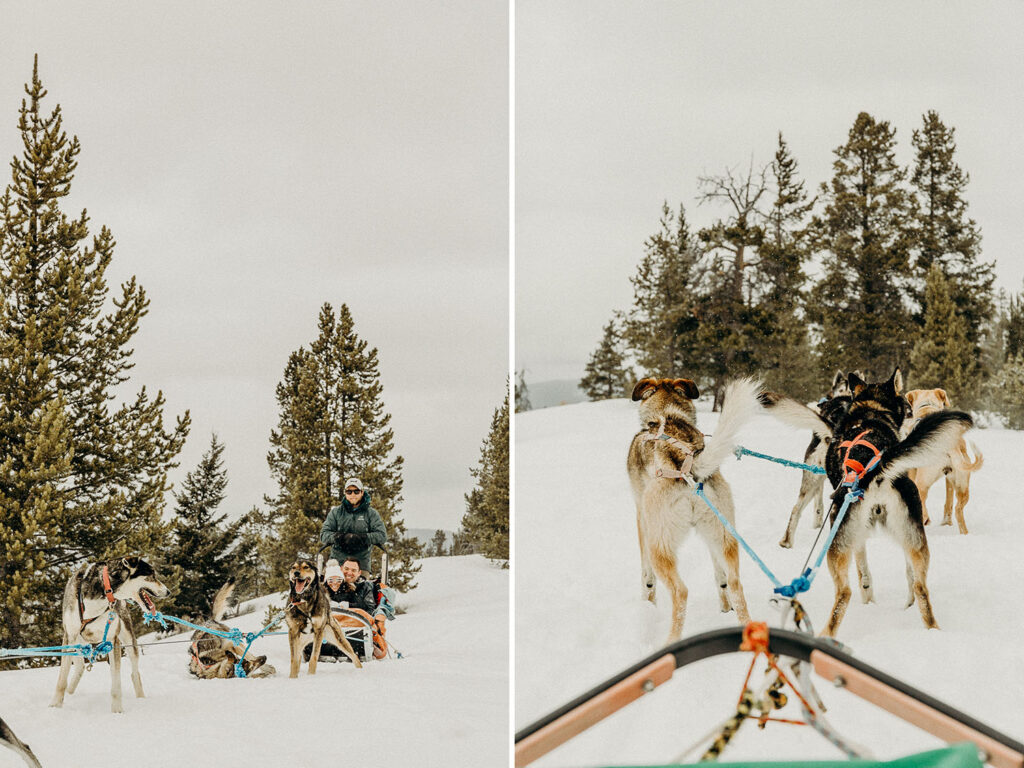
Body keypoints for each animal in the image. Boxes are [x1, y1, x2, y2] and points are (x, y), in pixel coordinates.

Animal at [50, 561, 168, 716]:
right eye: (152, 576)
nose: (168, 592)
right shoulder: (69, 636)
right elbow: (61, 679)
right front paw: (55, 706)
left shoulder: (112, 640)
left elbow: (116, 683)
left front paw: (117, 711)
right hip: (78, 643)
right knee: (80, 667)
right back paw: (70, 693)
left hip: (129, 641)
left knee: (134, 673)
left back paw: (141, 698)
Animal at [622, 376, 761, 647]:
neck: (667, 415)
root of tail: (689, 467)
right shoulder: (713, 539)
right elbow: (721, 578)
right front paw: (724, 607)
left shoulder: (641, 519)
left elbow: (647, 577)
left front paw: (648, 604)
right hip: (725, 534)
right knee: (735, 583)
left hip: (660, 545)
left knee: (681, 591)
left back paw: (671, 641)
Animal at [905, 391, 983, 536]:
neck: (927, 407)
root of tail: (950, 445)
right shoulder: (949, 479)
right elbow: (949, 501)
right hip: (963, 485)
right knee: (958, 509)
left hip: (922, 482)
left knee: (922, 506)